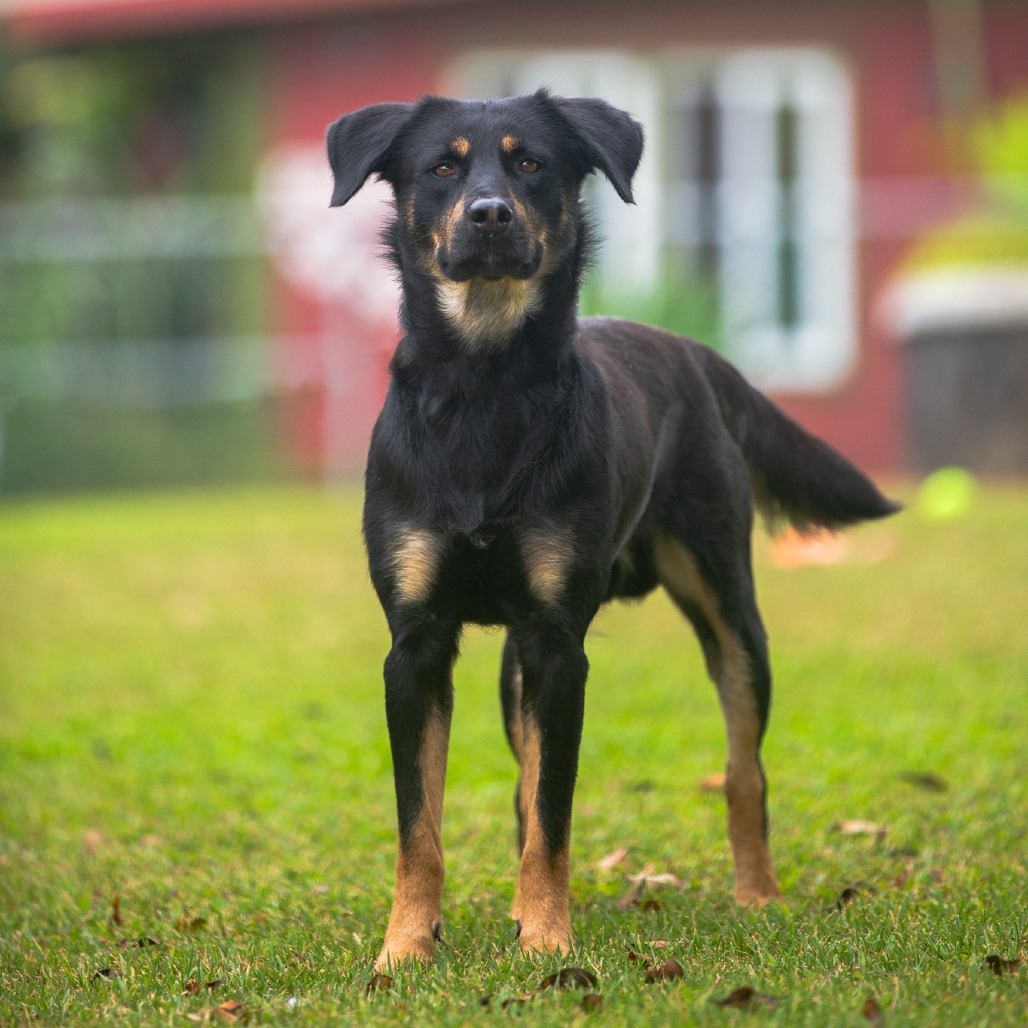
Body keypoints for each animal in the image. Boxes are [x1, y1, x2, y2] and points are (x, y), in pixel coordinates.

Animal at [328, 90, 900, 970]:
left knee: (744, 769)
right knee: (525, 785)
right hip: (514, 666)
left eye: (532, 163)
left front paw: (547, 941)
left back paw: (757, 896)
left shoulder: (559, 647)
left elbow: (555, 814)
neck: (486, 387)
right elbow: (421, 822)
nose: (490, 214)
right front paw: (407, 948)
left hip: (728, 610)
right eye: (442, 168)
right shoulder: (418, 644)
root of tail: (694, 351)